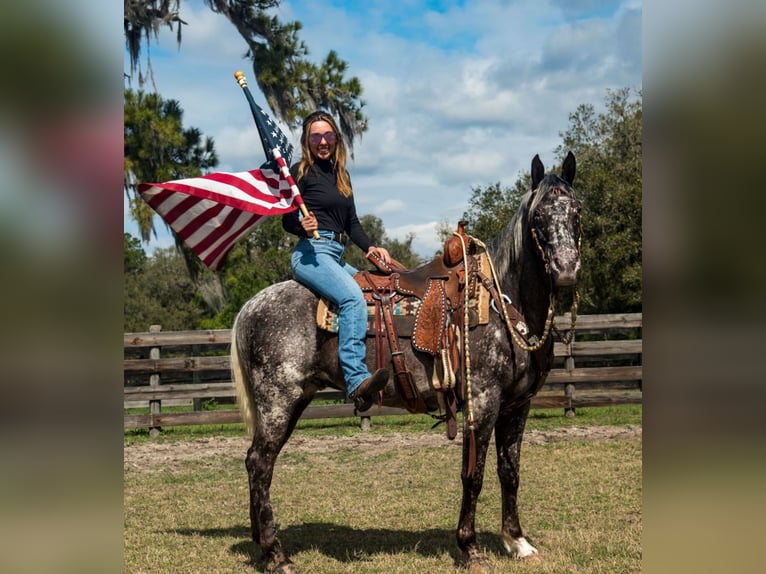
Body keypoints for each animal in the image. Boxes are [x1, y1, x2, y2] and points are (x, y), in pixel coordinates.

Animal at [232, 152, 584, 572]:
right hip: (278, 402)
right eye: (538, 216)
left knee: (256, 464)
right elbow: (474, 474)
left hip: (294, 400)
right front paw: (470, 547)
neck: (504, 301)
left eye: (577, 211)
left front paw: (517, 542)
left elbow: (509, 471)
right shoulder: (482, 402)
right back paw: (277, 555)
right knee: (260, 463)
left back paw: (262, 544)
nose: (566, 270)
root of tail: (251, 306)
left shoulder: (517, 405)